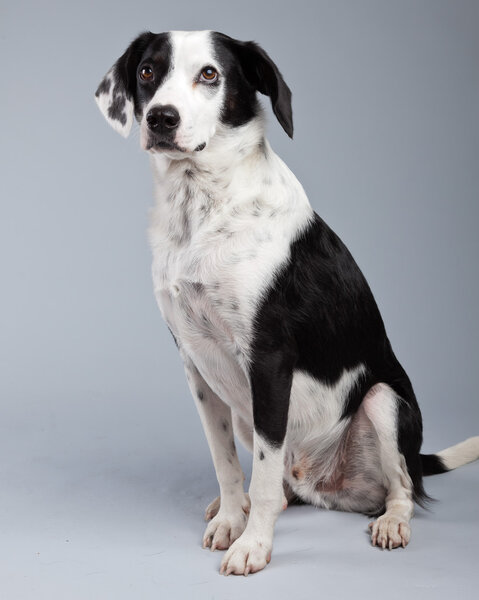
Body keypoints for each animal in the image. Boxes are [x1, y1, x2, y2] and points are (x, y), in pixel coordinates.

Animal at [94, 30, 479, 576]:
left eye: (210, 74)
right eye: (148, 71)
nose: (161, 119)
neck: (202, 208)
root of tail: (320, 482)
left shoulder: (269, 361)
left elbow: (261, 470)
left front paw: (253, 546)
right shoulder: (196, 365)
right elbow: (227, 464)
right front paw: (231, 521)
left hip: (383, 401)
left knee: (402, 488)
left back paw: (390, 522)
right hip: (244, 412)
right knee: (281, 486)